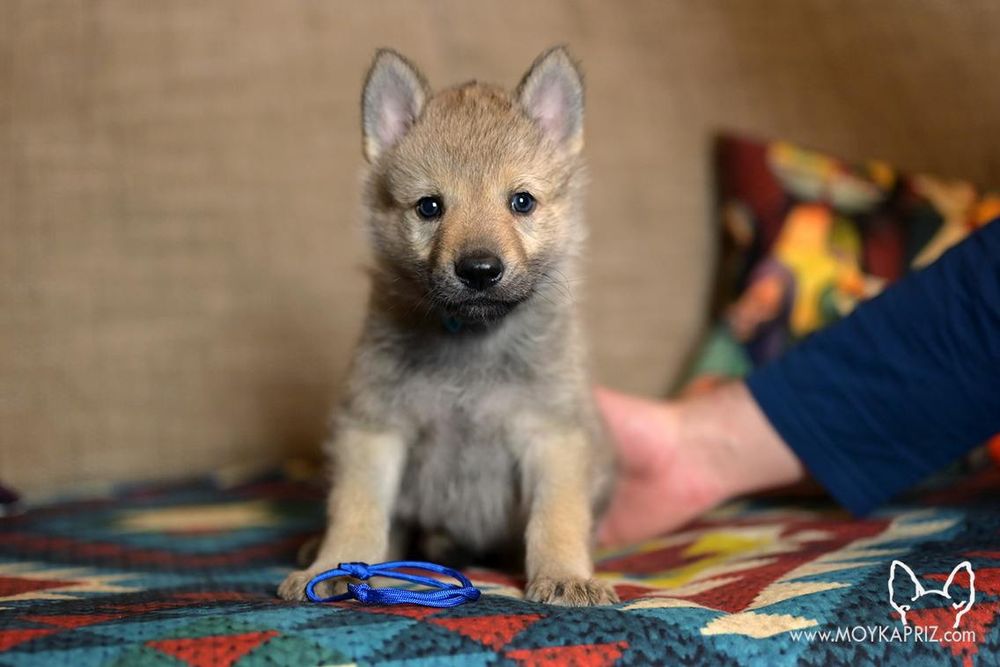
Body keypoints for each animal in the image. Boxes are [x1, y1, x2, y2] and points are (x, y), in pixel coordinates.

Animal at [277, 46, 618, 606]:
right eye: (430, 206)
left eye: (521, 201)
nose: (479, 270)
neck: (470, 344)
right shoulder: (375, 428)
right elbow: (357, 510)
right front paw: (333, 565)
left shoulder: (553, 434)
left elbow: (557, 516)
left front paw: (567, 575)